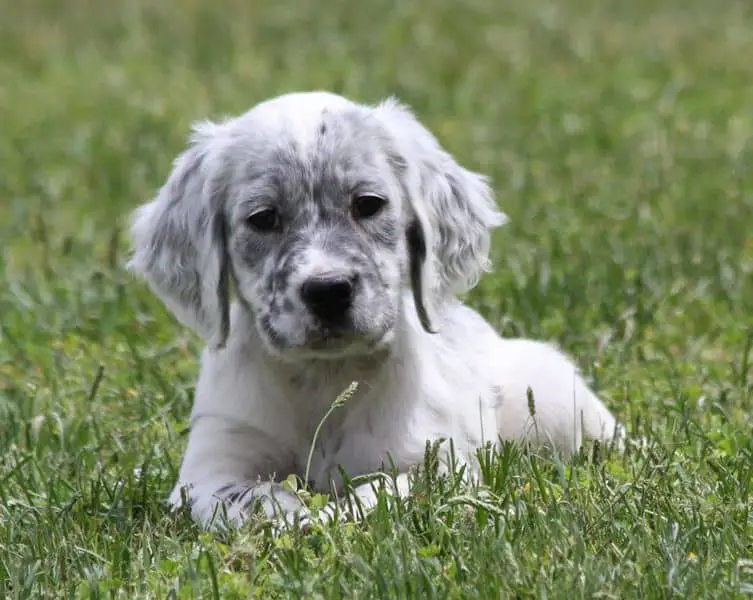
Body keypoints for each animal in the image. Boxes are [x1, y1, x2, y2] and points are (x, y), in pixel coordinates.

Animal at [128, 91, 625, 531]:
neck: (326, 379)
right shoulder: (210, 468)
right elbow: (248, 497)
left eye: (368, 204)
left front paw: (327, 517)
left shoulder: (436, 463)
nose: (328, 290)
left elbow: (381, 491)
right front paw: (287, 516)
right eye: (264, 218)